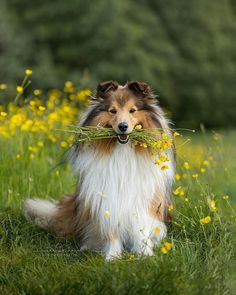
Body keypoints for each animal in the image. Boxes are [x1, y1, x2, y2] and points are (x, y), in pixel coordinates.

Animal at [23, 80, 175, 260]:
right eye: (112, 111)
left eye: (132, 110)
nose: (123, 126)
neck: (123, 149)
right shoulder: (106, 197)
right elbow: (110, 230)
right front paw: (112, 257)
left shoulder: (142, 201)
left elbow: (140, 230)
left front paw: (144, 254)